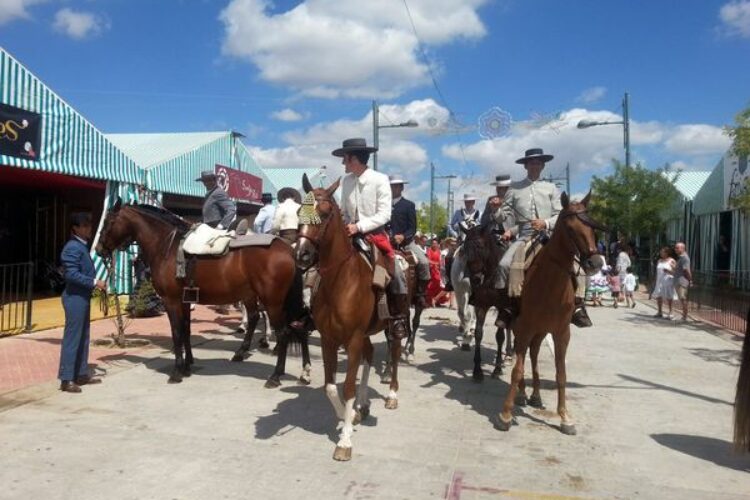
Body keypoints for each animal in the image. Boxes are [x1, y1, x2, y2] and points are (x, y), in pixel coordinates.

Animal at [96, 200, 312, 386]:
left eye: (108, 222)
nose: (98, 250)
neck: (167, 246)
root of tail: (288, 250)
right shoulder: (184, 301)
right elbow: (186, 330)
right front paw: (187, 366)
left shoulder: (171, 300)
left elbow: (176, 332)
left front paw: (176, 372)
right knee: (283, 324)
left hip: (273, 301)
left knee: (283, 332)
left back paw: (275, 376)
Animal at [296, 175, 408, 460]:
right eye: (299, 211)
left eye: (325, 213)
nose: (301, 255)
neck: (340, 281)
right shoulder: (329, 339)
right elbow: (330, 386)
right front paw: (350, 415)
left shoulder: (353, 338)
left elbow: (347, 385)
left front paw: (345, 441)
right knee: (369, 356)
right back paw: (363, 404)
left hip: (392, 326)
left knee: (394, 353)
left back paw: (392, 394)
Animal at [458, 221, 516, 380]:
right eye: (464, 248)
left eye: (480, 246)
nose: (475, 279)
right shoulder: (481, 305)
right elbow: (478, 333)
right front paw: (477, 370)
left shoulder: (502, 306)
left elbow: (500, 336)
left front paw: (497, 368)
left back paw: (509, 355)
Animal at [488, 191, 604, 434]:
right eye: (570, 228)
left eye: (591, 226)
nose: (595, 262)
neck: (550, 284)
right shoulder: (525, 327)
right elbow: (517, 370)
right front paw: (505, 414)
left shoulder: (561, 333)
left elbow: (561, 374)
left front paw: (565, 417)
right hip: (525, 329)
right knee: (523, 356)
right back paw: (523, 394)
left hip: (541, 331)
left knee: (532, 354)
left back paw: (535, 395)